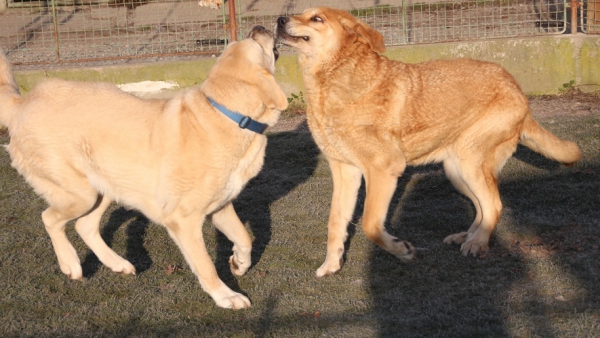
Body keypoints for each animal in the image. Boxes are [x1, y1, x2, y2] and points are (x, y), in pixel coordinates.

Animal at [0, 25, 288, 308]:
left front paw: (239, 263)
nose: (259, 27)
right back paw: (70, 263)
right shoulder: (183, 219)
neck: (228, 114)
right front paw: (226, 296)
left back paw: (118, 264)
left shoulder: (220, 206)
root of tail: (24, 102)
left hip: (106, 186)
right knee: (50, 218)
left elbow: (244, 238)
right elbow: (206, 266)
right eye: (255, 41)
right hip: (81, 193)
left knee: (85, 226)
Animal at [276, 7, 580, 278]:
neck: (332, 80)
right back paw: (467, 236)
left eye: (317, 18)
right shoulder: (344, 171)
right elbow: (335, 222)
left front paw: (401, 250)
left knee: (495, 205)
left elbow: (370, 225)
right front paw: (331, 265)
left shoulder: (384, 169)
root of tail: (518, 90)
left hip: (471, 163)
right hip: (457, 172)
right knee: (483, 207)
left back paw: (478, 243)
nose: (279, 19)